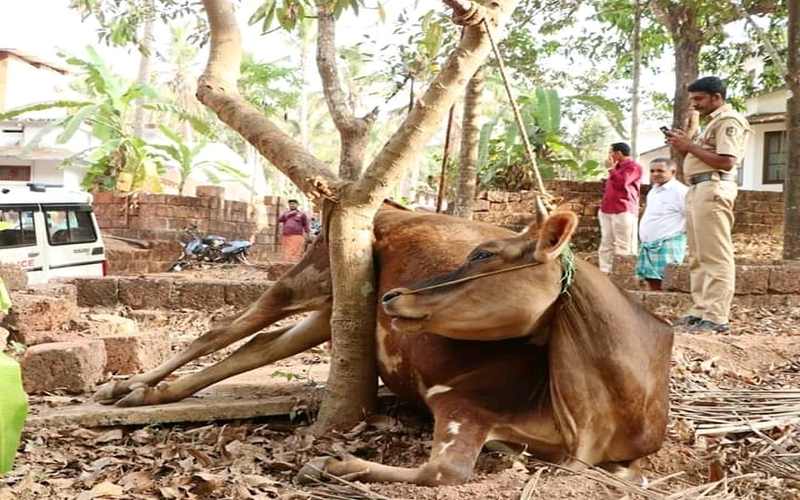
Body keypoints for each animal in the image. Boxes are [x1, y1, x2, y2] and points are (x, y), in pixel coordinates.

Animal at [93, 203, 674, 486]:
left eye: (484, 254)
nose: (396, 295)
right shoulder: (461, 401)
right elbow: (445, 472)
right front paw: (332, 465)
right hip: (313, 274)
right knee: (227, 328)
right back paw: (128, 389)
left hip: (333, 312)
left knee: (258, 346)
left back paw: (148, 393)